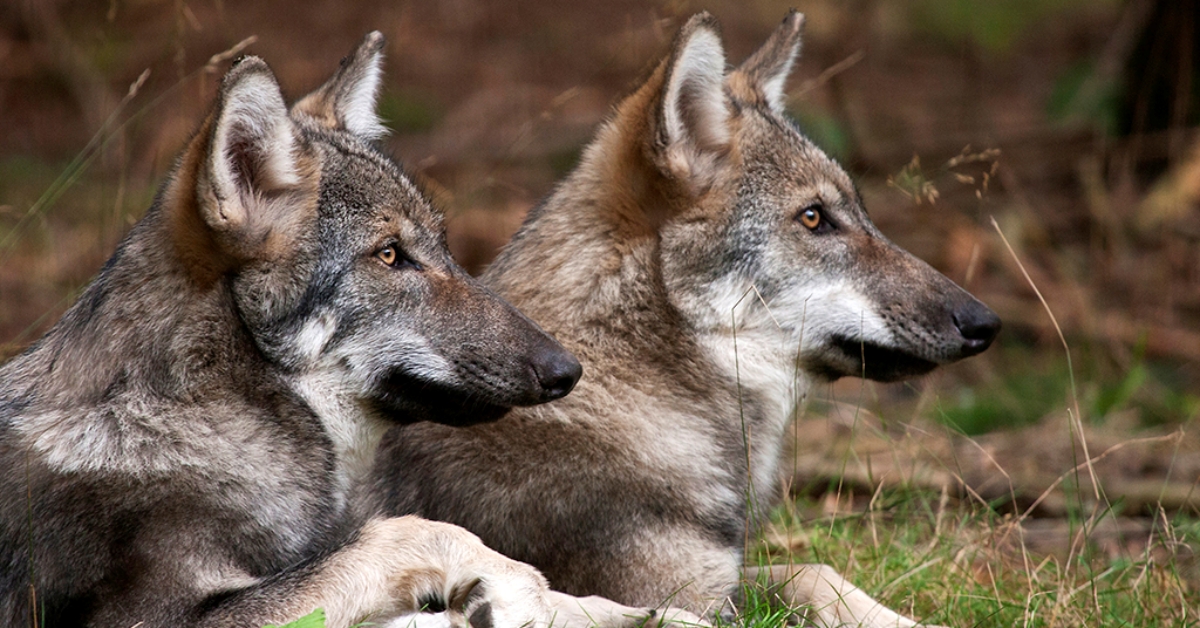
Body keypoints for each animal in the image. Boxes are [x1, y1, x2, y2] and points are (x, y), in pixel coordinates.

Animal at [0, 33, 676, 628]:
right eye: (390, 255)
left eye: (444, 248)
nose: (567, 371)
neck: (201, 415)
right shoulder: (152, 616)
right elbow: (417, 533)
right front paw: (514, 587)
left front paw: (651, 614)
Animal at [376, 12, 1003, 628]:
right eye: (814, 218)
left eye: (859, 214)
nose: (986, 323)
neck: (629, 387)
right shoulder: (680, 595)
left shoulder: (722, 582)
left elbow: (816, 573)